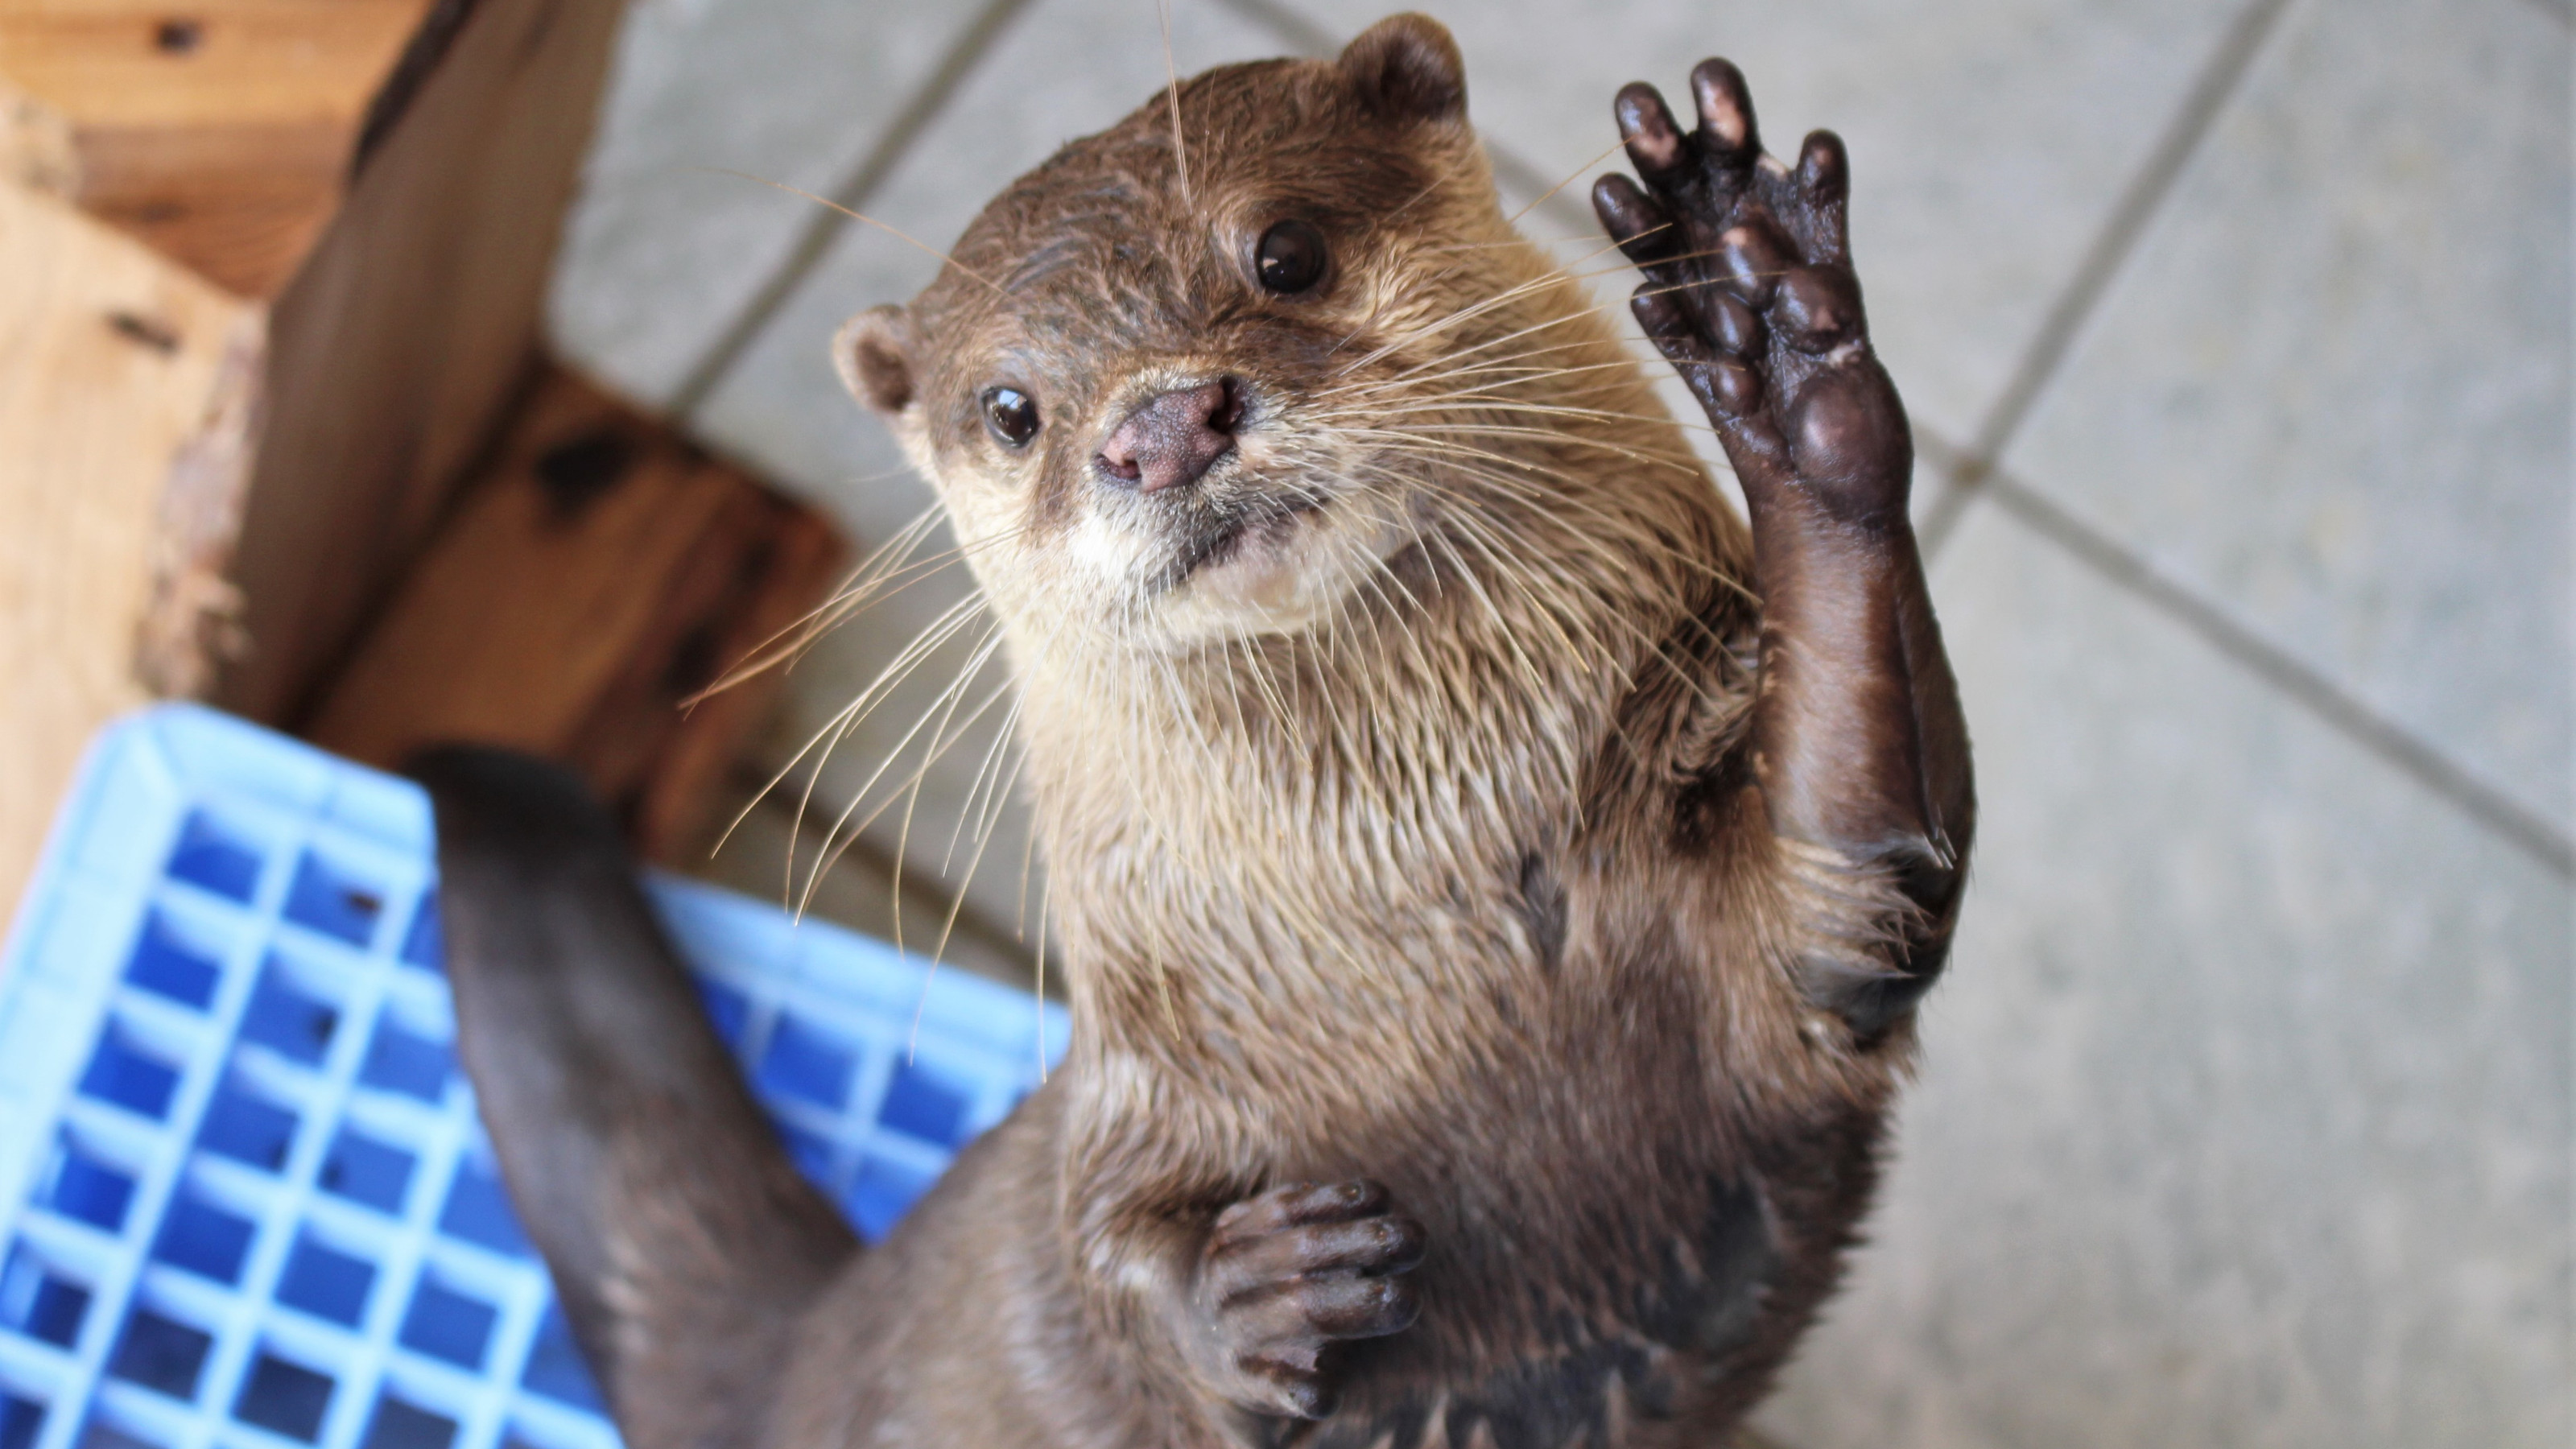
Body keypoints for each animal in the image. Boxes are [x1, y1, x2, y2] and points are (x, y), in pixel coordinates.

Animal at [412, 14, 1967, 1443]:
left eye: (1284, 253)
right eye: (1010, 409)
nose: (1160, 426)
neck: (1435, 916)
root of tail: (812, 1342)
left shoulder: (1779, 946)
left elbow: (1872, 854)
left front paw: (1773, 325)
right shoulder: (1145, 1092)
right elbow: (1103, 1253)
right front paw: (1243, 1293)